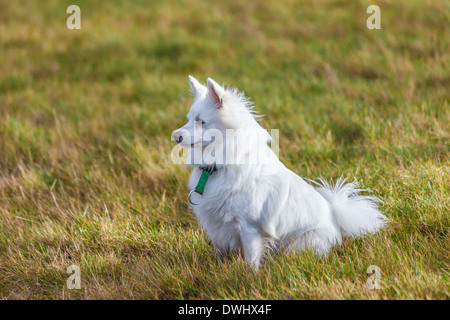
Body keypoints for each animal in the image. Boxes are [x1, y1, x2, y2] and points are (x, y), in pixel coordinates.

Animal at [171, 76, 388, 268]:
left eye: (201, 121)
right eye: (188, 120)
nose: (175, 136)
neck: (218, 165)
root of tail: (336, 220)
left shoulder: (249, 228)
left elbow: (251, 259)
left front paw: (249, 277)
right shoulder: (217, 226)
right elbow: (221, 254)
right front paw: (221, 271)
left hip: (300, 244)